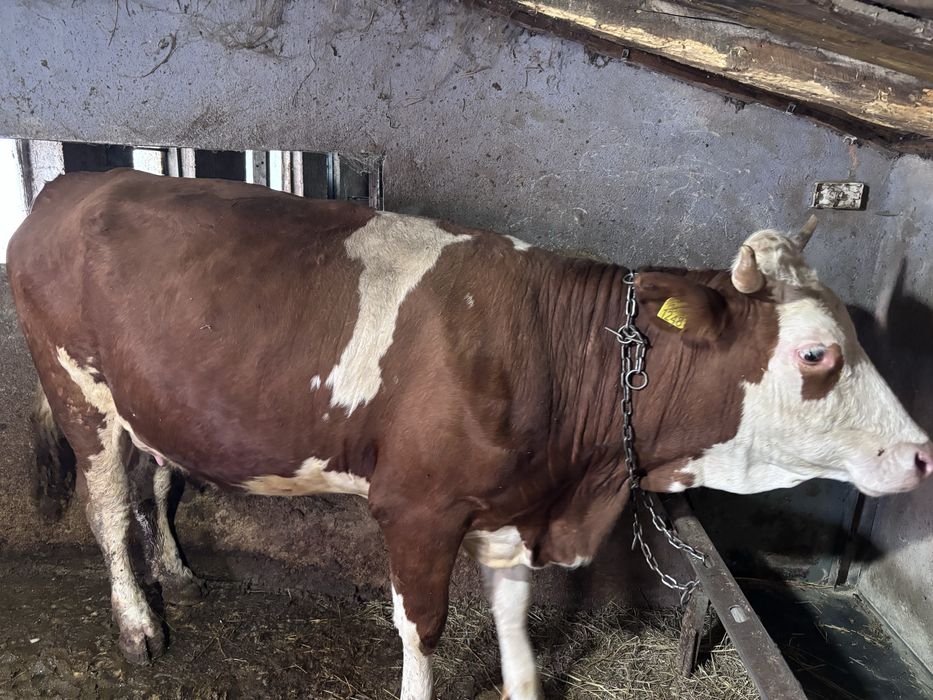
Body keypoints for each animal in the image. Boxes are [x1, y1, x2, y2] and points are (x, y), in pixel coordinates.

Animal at [6, 168, 931, 700]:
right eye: (816, 353)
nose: (921, 453)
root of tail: (70, 184)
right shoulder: (416, 510)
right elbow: (423, 630)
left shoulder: (515, 506)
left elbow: (515, 622)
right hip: (76, 388)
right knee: (105, 507)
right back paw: (138, 624)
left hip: (155, 402)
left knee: (159, 477)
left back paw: (174, 569)